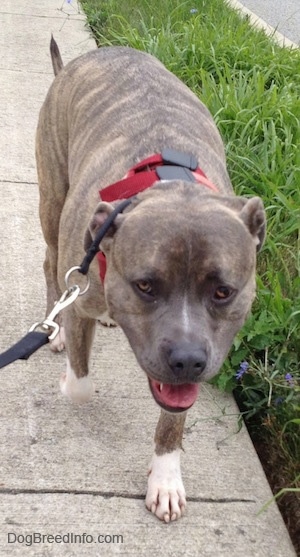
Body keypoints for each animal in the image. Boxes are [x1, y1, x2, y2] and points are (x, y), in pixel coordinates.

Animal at [36, 37, 266, 524]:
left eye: (223, 292)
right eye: (145, 286)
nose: (187, 360)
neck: (172, 188)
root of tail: (83, 60)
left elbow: (173, 421)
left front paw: (165, 478)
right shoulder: (81, 296)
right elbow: (81, 387)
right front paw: (69, 375)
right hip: (52, 201)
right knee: (49, 264)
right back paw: (55, 327)